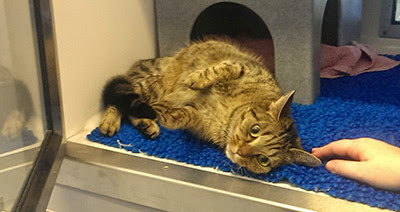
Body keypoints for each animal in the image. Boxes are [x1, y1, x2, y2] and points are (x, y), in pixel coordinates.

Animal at [100, 39, 322, 173]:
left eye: (263, 160)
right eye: (255, 130)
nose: (239, 151)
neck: (227, 116)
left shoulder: (199, 126)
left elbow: (189, 115)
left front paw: (172, 117)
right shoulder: (243, 67)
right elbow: (224, 68)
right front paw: (196, 79)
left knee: (134, 107)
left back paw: (147, 124)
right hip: (153, 86)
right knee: (116, 98)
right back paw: (109, 122)